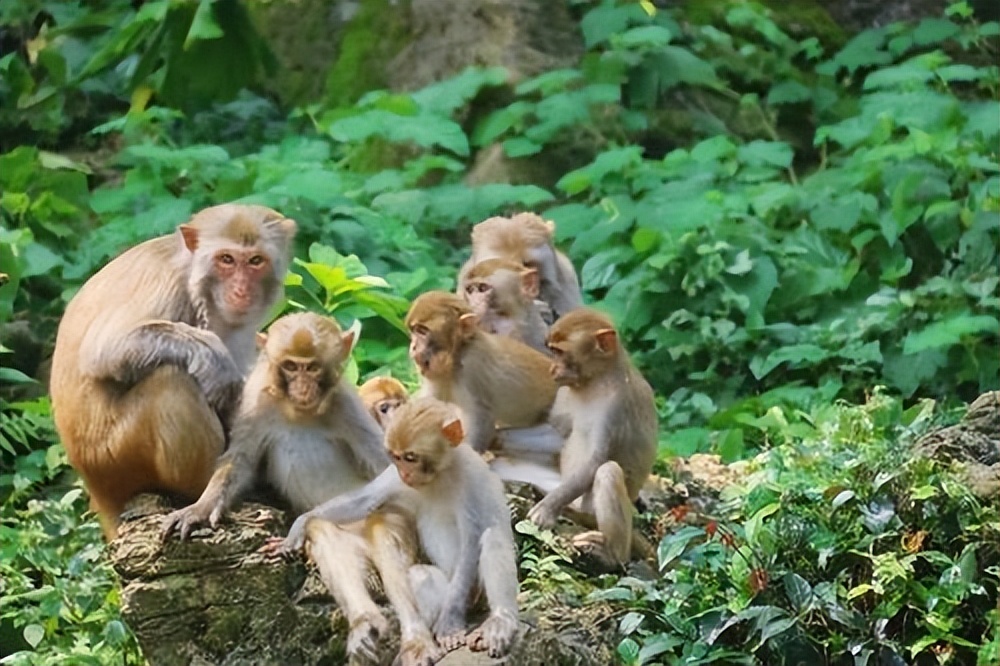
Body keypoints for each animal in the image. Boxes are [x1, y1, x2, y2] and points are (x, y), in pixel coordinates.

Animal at [47, 204, 296, 540]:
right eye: (226, 259)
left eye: (256, 261)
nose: (241, 290)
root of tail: (97, 490)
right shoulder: (164, 282)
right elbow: (104, 350)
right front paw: (214, 358)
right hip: (114, 457)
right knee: (172, 382)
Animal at [162, 312, 440, 664]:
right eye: (291, 367)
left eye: (313, 368)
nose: (302, 386)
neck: (299, 412)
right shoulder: (256, 400)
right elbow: (241, 461)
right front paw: (198, 509)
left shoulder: (347, 405)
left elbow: (385, 469)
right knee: (323, 532)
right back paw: (365, 623)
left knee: (384, 529)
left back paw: (416, 640)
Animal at [274, 394, 524, 660]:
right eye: (396, 456)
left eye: (411, 457)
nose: (405, 473)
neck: (439, 475)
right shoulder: (394, 476)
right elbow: (365, 501)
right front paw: (299, 525)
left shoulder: (470, 478)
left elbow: (471, 542)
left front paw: (450, 624)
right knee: (420, 574)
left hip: (475, 595)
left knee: (492, 538)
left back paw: (499, 621)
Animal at [408, 290, 564, 452]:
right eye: (413, 331)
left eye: (422, 331)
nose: (413, 346)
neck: (456, 359)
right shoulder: (436, 375)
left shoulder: (473, 367)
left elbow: (482, 420)